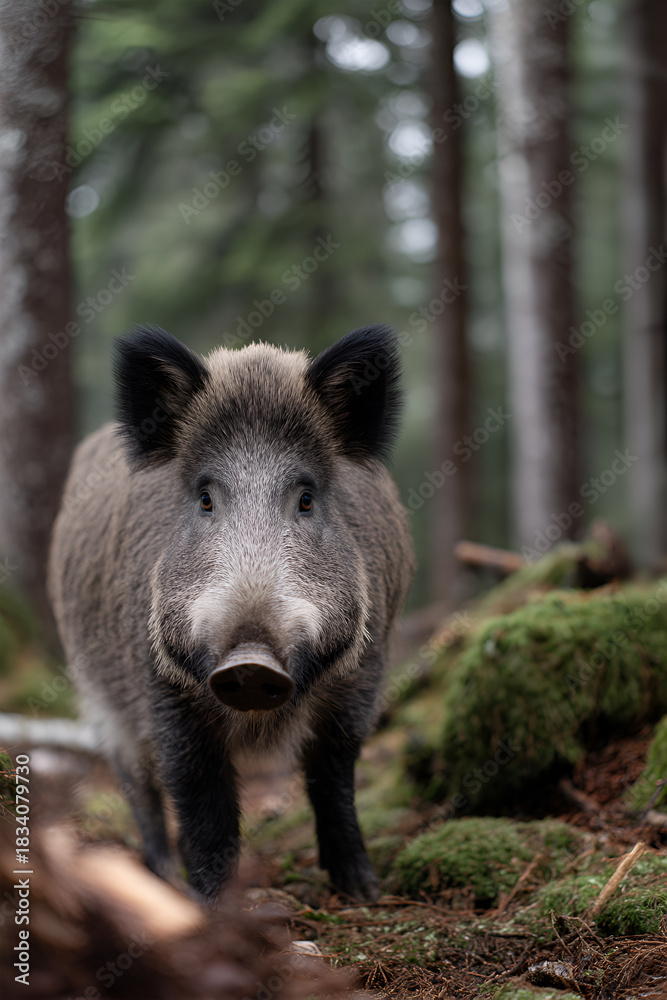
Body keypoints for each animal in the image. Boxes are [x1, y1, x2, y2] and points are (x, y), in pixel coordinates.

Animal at [48, 324, 415, 903]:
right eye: (205, 498)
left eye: (306, 498)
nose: (250, 661)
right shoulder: (161, 689)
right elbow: (202, 802)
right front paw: (214, 907)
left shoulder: (363, 675)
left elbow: (333, 777)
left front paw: (362, 892)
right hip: (98, 694)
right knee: (137, 785)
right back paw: (162, 877)